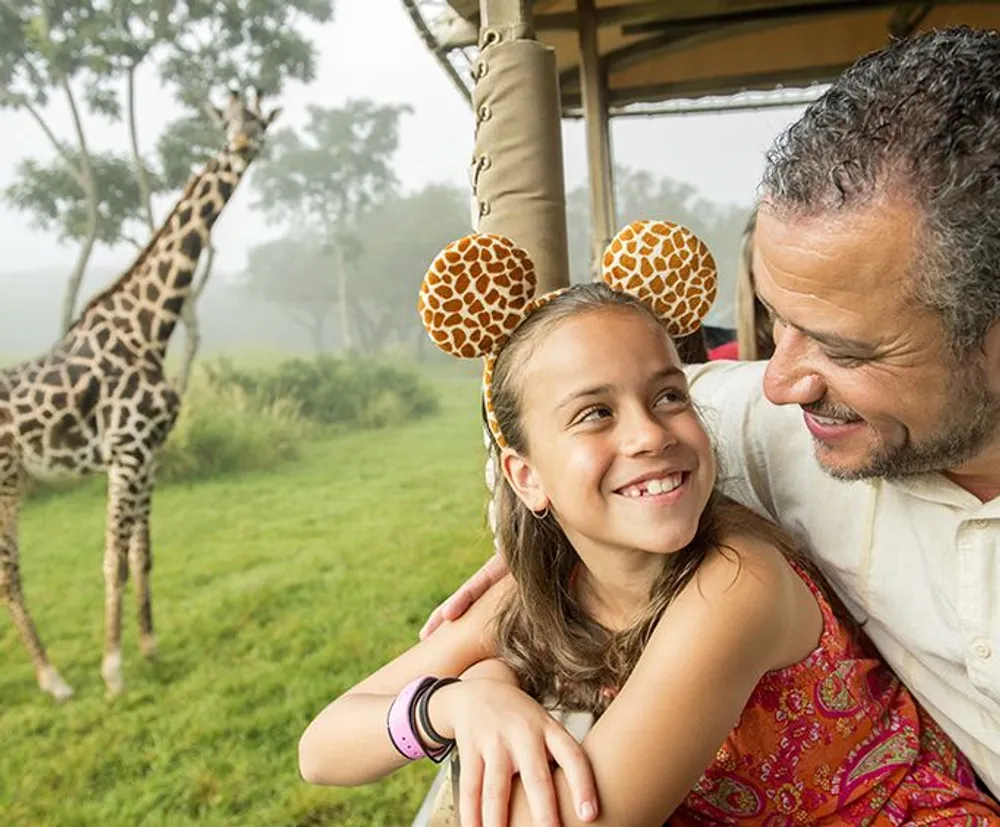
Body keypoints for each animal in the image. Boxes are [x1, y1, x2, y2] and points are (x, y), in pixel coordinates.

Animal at [0, 89, 282, 700]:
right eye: (227, 121)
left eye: (257, 121)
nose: (242, 144)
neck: (151, 326)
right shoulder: (125, 452)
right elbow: (113, 560)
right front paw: (113, 671)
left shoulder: (149, 455)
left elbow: (143, 554)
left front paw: (149, 648)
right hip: (5, 476)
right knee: (8, 569)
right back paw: (54, 679)